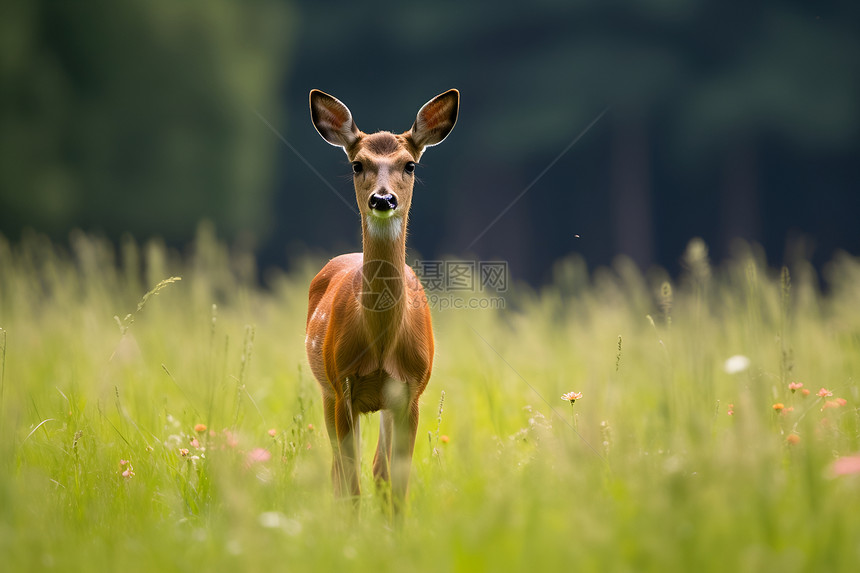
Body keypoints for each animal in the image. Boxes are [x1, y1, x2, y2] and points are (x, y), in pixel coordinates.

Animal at [308, 87, 460, 512]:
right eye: (357, 164)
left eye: (409, 165)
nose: (383, 199)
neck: (380, 344)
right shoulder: (342, 386)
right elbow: (350, 486)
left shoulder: (411, 393)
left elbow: (395, 486)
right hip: (327, 392)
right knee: (340, 474)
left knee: (378, 471)